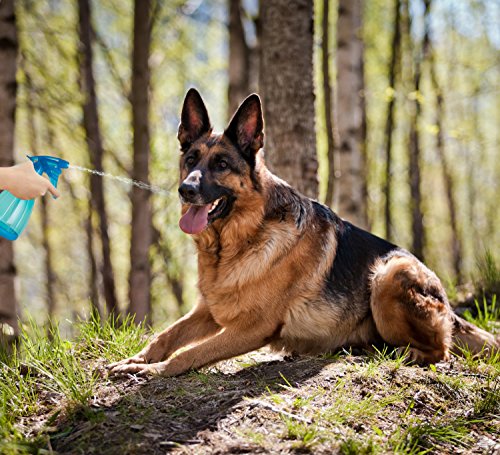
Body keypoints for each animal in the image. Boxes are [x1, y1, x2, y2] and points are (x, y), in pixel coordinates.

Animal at [108, 89, 496, 378]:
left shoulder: (251, 328)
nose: (185, 191)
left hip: (389, 273)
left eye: (221, 164)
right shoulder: (208, 312)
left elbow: (187, 354)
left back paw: (402, 354)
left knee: (441, 351)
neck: (239, 240)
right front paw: (136, 360)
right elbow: (166, 336)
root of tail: (448, 304)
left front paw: (153, 371)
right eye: (190, 159)